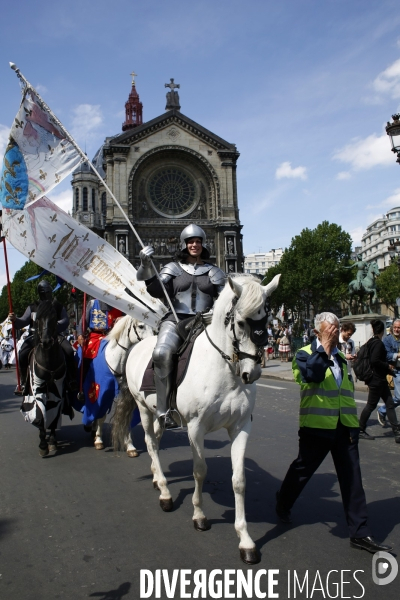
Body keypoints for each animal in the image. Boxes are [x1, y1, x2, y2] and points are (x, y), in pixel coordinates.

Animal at [20, 302, 69, 458]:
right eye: (38, 319)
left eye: (53, 317)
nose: (46, 341)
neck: (49, 360)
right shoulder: (38, 386)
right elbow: (40, 413)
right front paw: (43, 445)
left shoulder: (58, 387)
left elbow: (54, 414)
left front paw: (52, 441)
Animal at [80, 316, 152, 452]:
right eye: (141, 326)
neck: (116, 361)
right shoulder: (102, 392)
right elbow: (101, 415)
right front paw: (98, 439)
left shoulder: (127, 394)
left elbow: (126, 417)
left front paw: (129, 445)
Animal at [113, 274, 282, 564]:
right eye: (240, 322)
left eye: (267, 319)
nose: (252, 373)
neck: (226, 370)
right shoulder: (195, 428)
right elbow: (200, 471)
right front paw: (199, 515)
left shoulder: (241, 427)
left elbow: (239, 480)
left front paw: (246, 541)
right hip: (143, 408)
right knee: (150, 443)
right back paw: (165, 493)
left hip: (158, 414)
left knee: (157, 438)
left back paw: (158, 479)